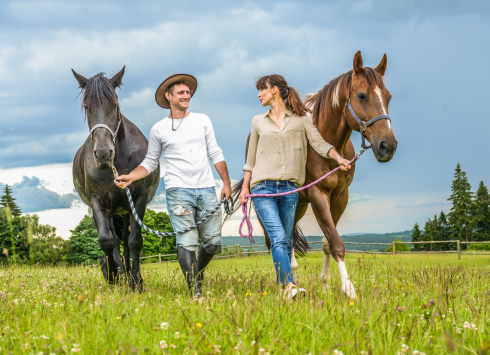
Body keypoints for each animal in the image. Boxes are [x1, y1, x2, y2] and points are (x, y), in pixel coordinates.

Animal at [72, 68, 159, 290]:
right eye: (87, 107)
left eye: (115, 105)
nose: (103, 154)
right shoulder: (98, 202)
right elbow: (106, 240)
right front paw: (112, 275)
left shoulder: (138, 200)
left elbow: (135, 241)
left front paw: (136, 281)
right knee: (112, 238)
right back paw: (119, 273)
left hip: (126, 209)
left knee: (126, 239)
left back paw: (128, 275)